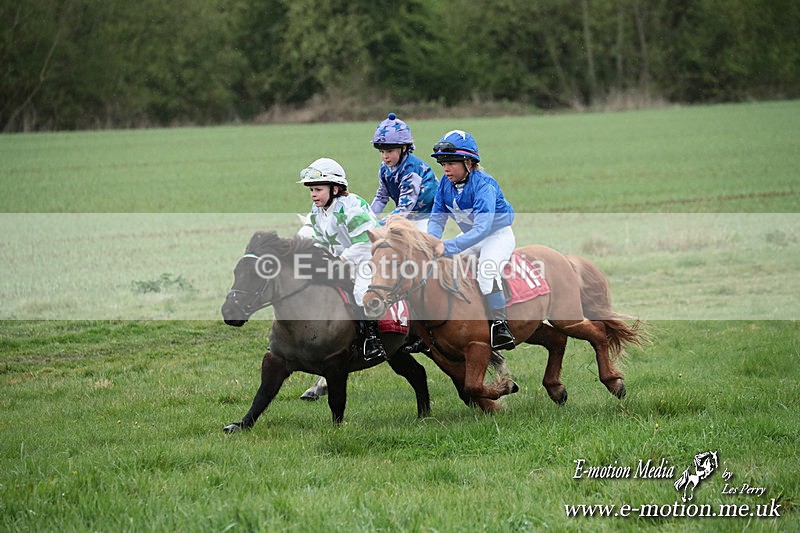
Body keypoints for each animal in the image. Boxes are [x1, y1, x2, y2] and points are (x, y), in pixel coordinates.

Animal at [220, 230, 430, 431]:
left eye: (255, 275)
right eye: (236, 272)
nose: (229, 311)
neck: (306, 319)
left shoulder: (335, 362)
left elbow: (336, 401)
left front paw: (337, 429)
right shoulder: (276, 359)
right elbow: (263, 395)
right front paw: (241, 425)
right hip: (395, 352)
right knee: (417, 374)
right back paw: (424, 416)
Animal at [363, 217, 642, 413]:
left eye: (396, 264)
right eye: (371, 264)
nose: (371, 302)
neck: (443, 299)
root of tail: (564, 257)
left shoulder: (478, 346)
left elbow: (473, 385)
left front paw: (506, 387)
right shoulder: (444, 356)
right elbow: (468, 387)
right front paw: (493, 406)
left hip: (567, 317)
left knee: (597, 332)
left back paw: (614, 383)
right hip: (531, 327)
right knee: (557, 340)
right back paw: (556, 388)